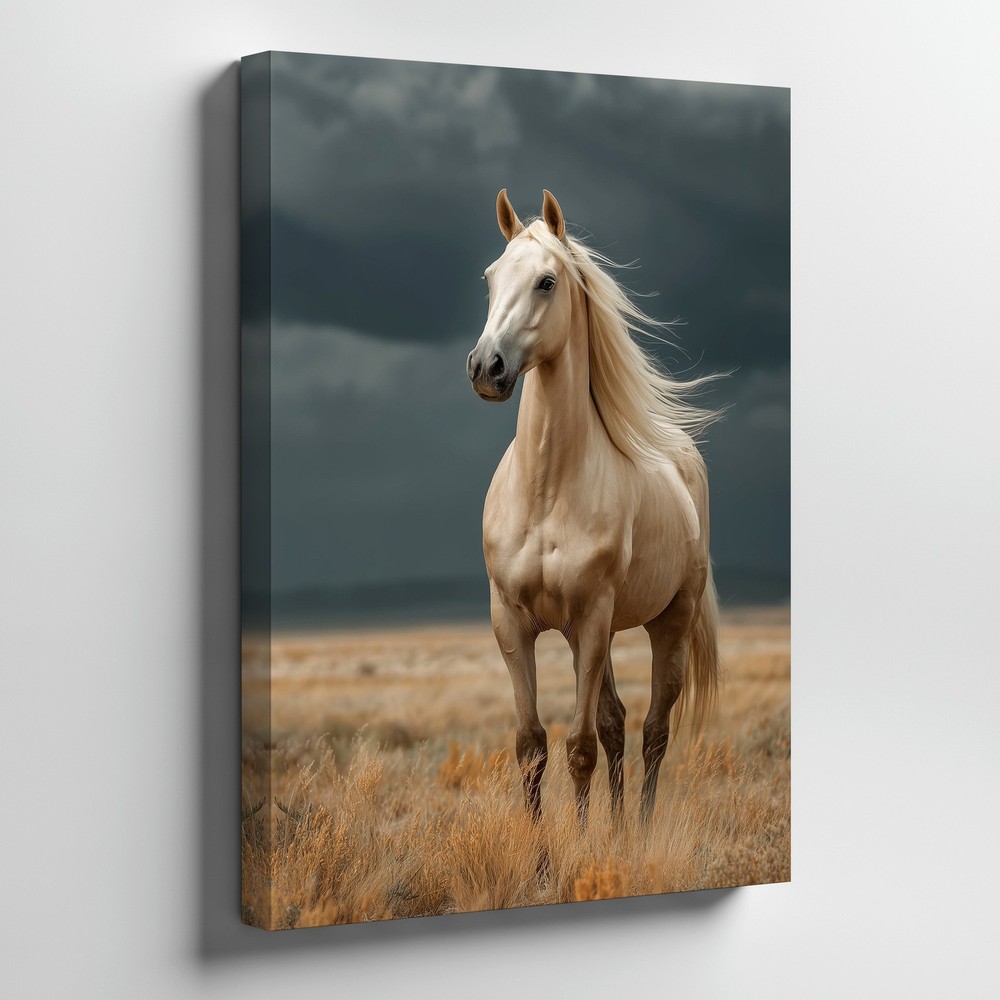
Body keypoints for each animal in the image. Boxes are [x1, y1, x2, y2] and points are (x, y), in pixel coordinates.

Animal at [466, 189, 722, 823]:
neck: (545, 491)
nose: (486, 367)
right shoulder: (513, 621)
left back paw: (639, 831)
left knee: (653, 730)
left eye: (546, 282)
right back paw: (618, 827)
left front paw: (584, 844)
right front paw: (543, 851)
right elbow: (532, 746)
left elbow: (579, 749)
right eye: (490, 279)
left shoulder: (592, 616)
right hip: (592, 637)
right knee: (616, 723)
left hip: (667, 621)